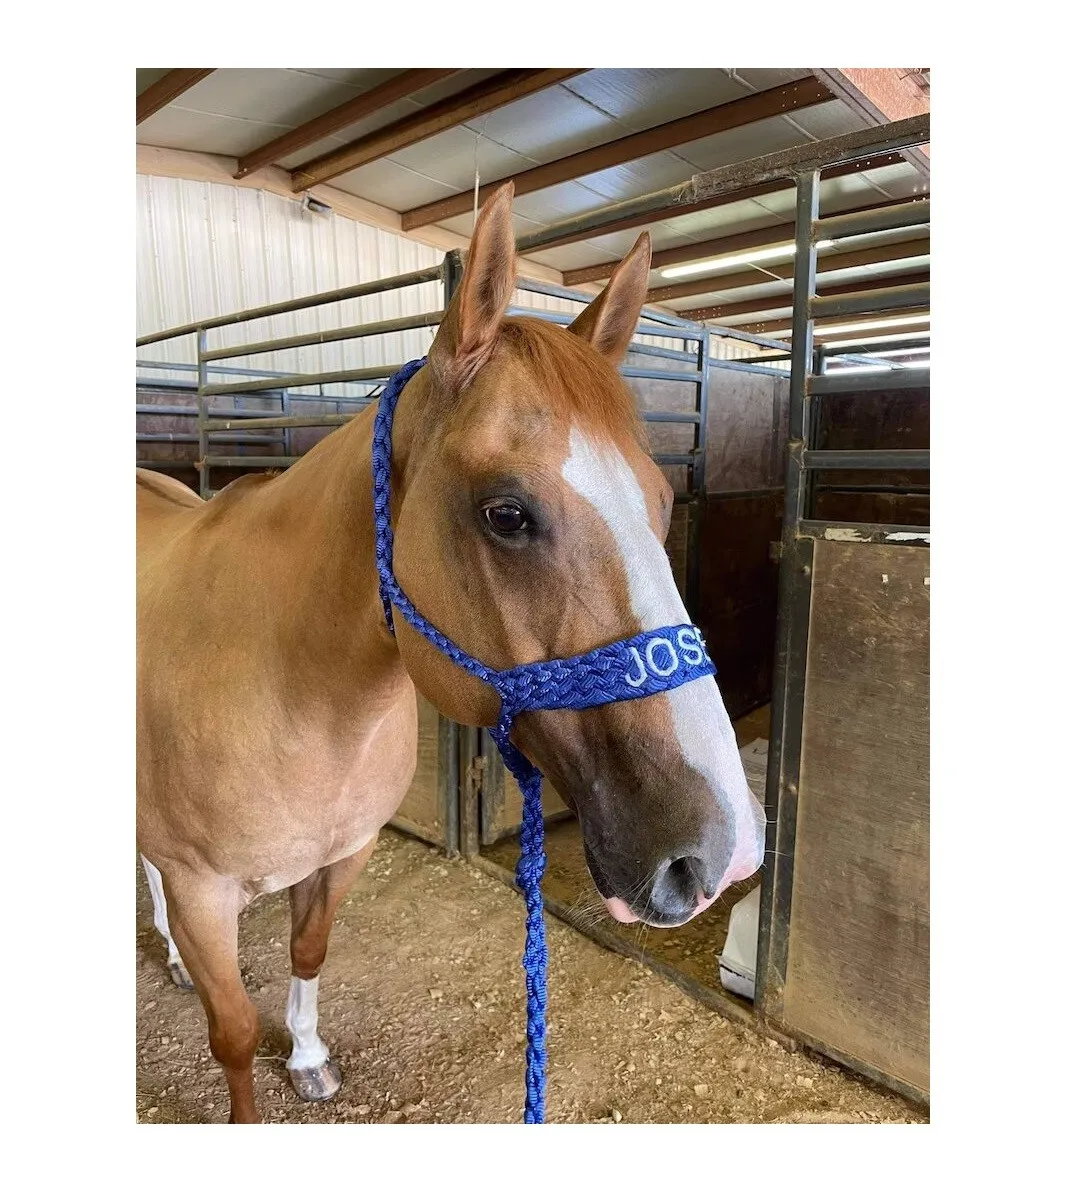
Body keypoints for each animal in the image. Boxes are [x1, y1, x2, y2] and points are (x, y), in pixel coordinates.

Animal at [136, 182, 766, 1124]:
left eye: (661, 501)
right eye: (506, 514)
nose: (724, 853)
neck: (289, 693)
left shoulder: (343, 855)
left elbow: (311, 952)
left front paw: (310, 1056)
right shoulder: (203, 892)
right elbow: (236, 1035)